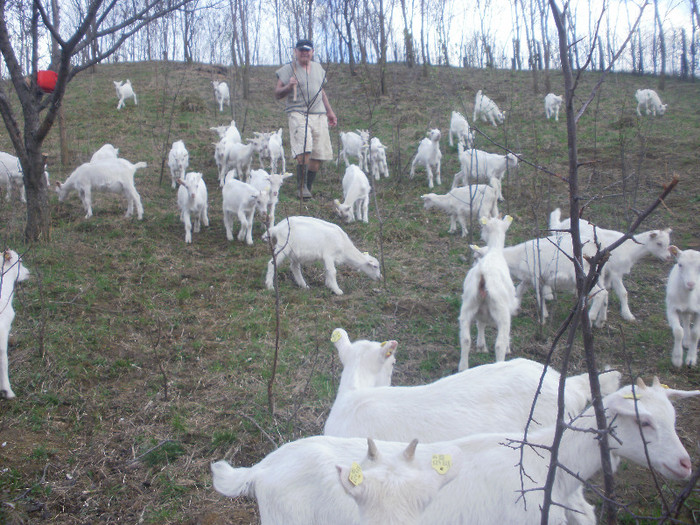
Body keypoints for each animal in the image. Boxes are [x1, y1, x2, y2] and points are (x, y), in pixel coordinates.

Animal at [456, 213, 516, 368]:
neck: (494, 251)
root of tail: (483, 275)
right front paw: (508, 348)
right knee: (499, 344)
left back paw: (463, 367)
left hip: (468, 305)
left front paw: (481, 346)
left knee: (465, 339)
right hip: (501, 311)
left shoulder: (481, 311)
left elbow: (481, 323)